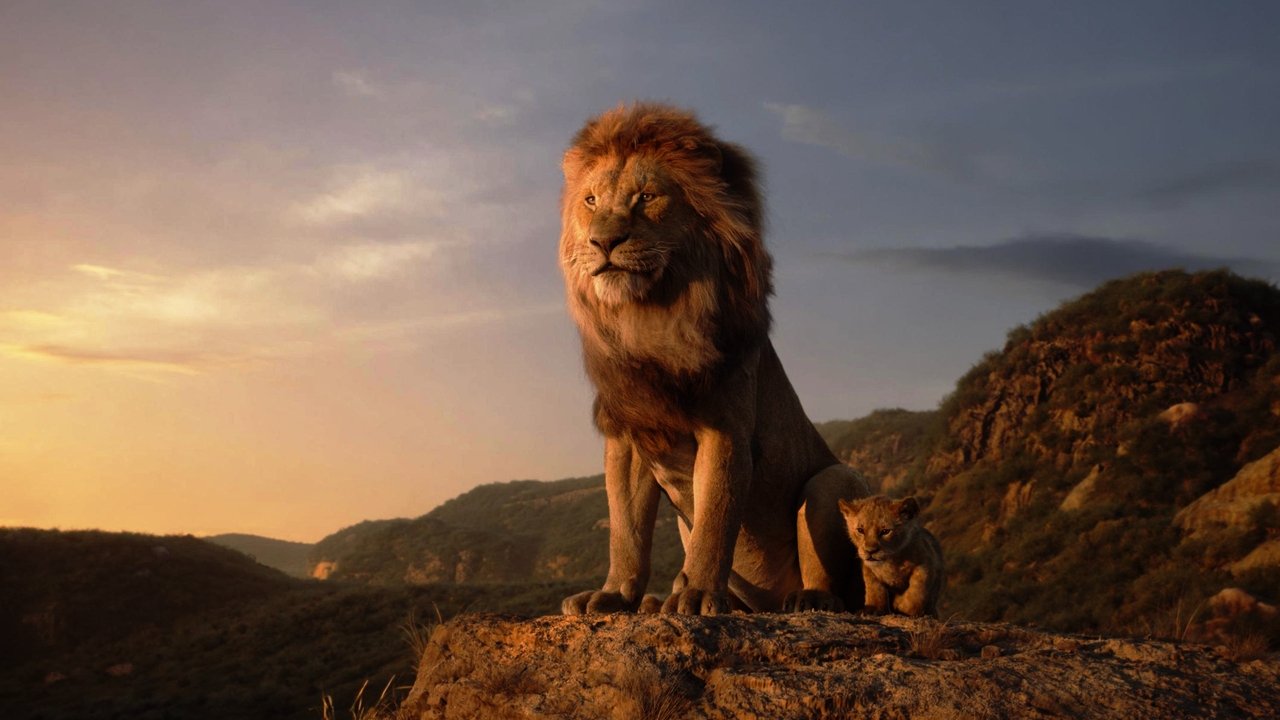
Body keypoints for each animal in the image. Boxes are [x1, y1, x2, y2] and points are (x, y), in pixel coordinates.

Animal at [557, 102, 871, 616]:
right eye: (590, 201)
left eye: (647, 197)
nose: (603, 242)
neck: (649, 318)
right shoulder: (629, 434)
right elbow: (626, 530)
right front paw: (614, 595)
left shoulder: (725, 428)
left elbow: (715, 519)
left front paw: (699, 594)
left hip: (833, 480)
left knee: (836, 583)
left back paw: (807, 599)